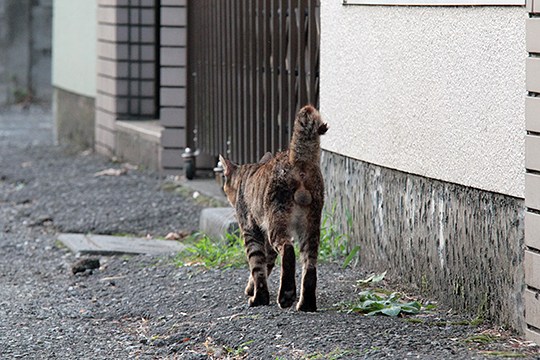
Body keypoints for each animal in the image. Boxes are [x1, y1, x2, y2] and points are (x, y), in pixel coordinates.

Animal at [218, 105, 326, 312]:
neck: (246, 175)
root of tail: (297, 161)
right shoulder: (264, 234)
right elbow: (266, 264)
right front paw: (251, 288)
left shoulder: (251, 230)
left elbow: (257, 266)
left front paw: (258, 297)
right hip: (310, 226)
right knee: (310, 265)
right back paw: (306, 304)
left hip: (278, 221)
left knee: (288, 249)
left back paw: (286, 296)